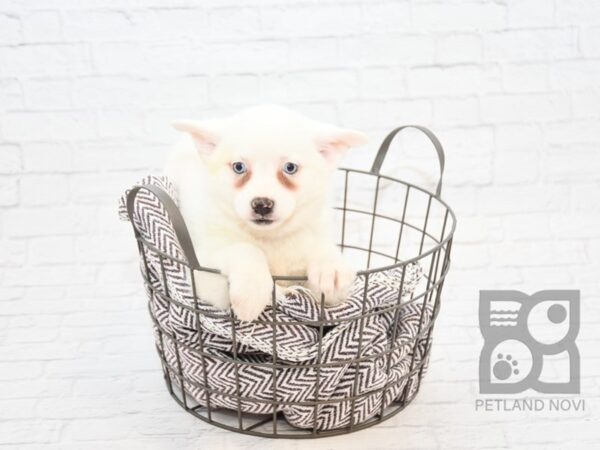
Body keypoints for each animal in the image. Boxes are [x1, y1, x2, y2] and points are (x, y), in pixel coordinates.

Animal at [166, 103, 368, 322]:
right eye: (239, 167)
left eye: (290, 167)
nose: (262, 205)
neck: (271, 239)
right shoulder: (204, 273)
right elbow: (245, 249)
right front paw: (252, 290)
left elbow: (322, 257)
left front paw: (329, 264)